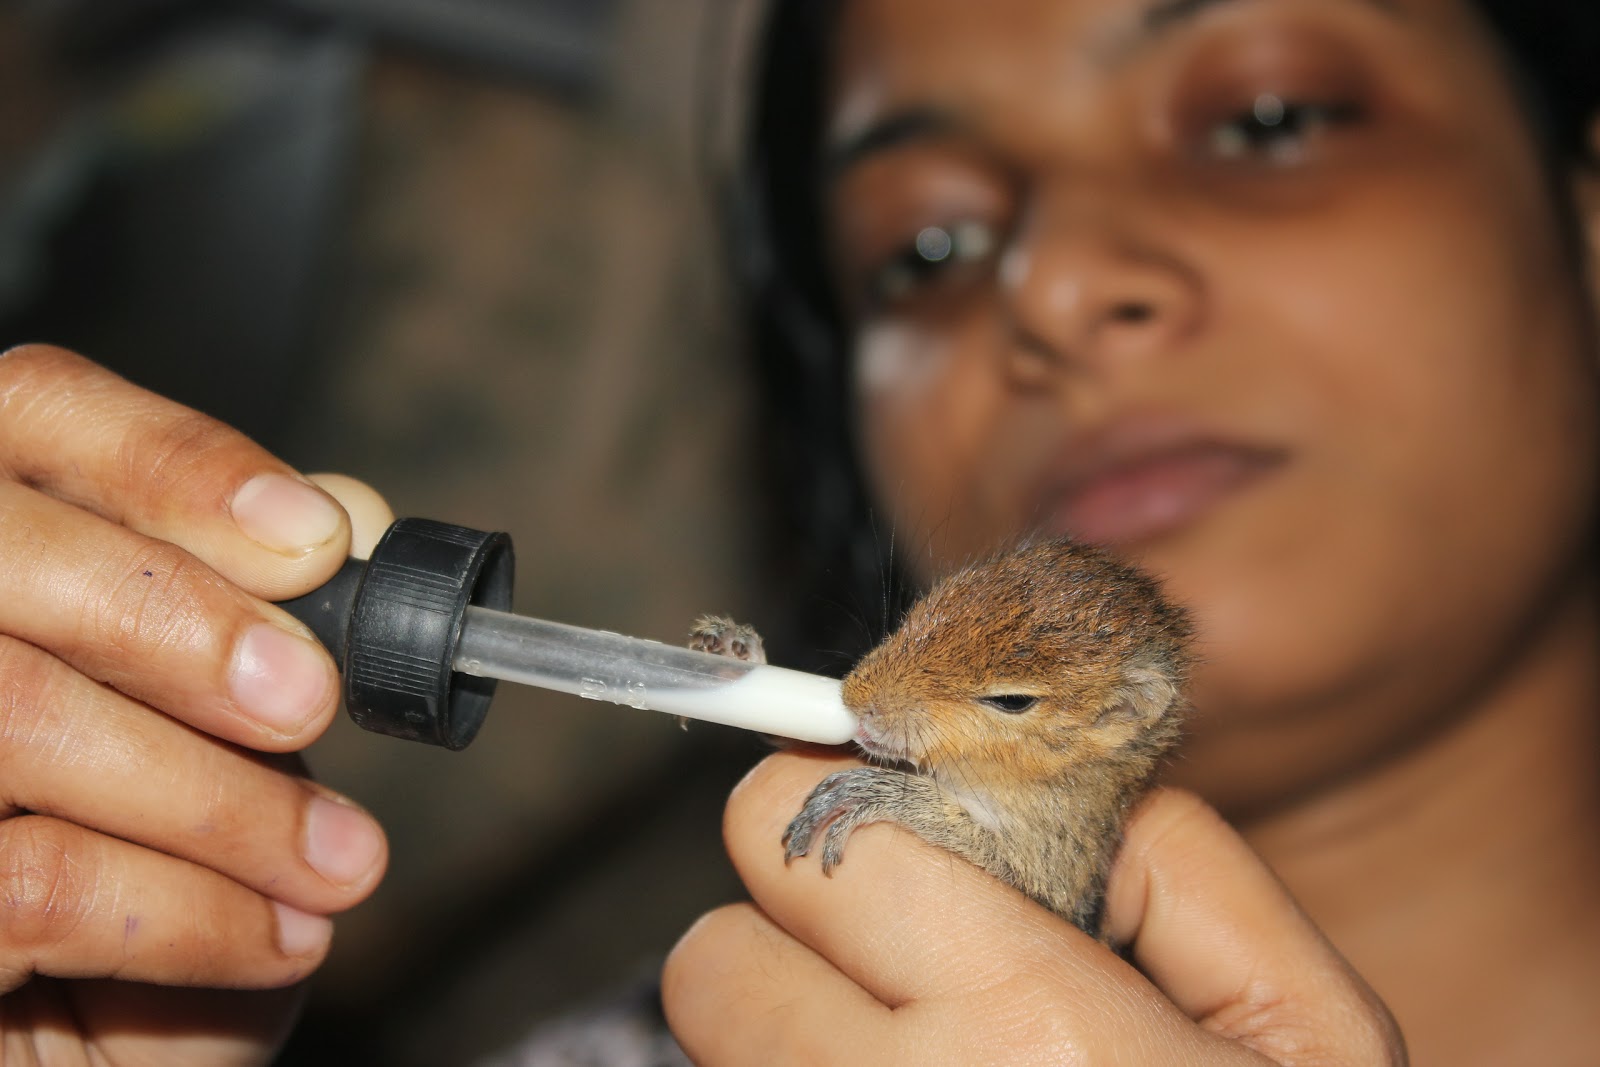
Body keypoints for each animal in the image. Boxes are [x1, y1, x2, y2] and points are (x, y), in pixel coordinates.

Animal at [691, 537, 1192, 939]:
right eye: (928, 604)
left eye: (1012, 700)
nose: (855, 702)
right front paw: (736, 653)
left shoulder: (1057, 863)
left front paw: (875, 793)